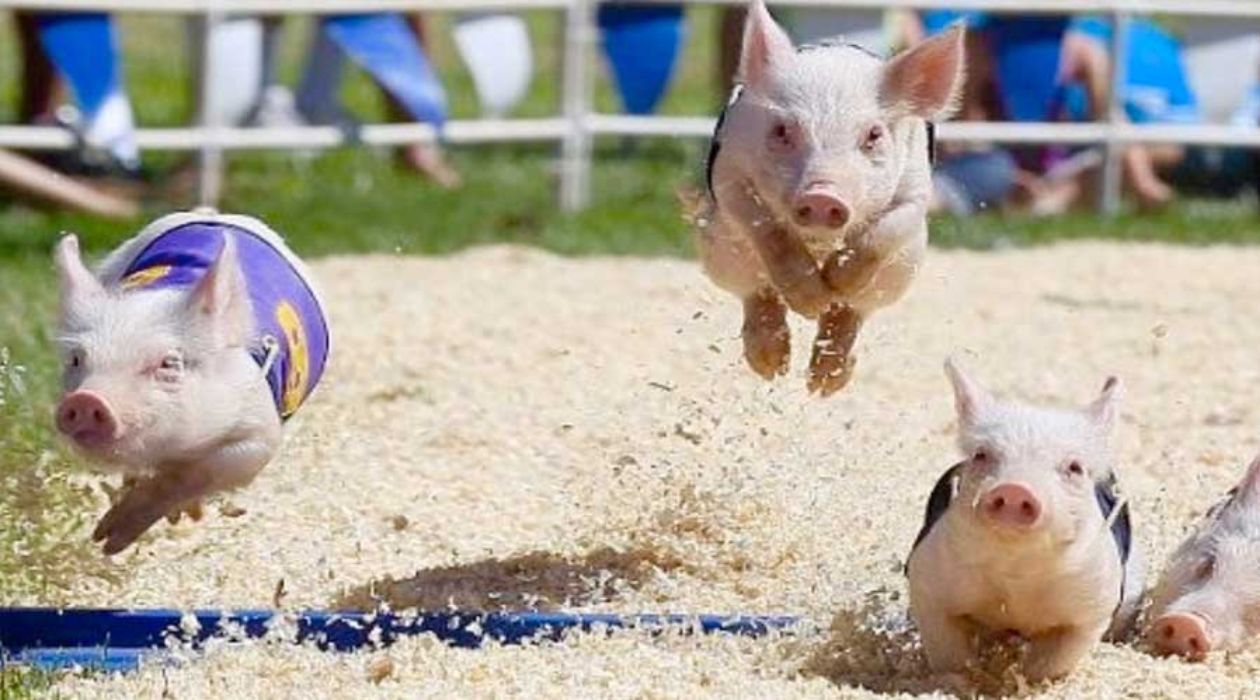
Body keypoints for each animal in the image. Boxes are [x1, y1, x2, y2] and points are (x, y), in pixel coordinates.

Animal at [53, 210, 330, 554]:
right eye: (77, 359)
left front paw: (111, 539)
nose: (85, 399)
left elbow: (204, 470)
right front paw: (104, 539)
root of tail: (213, 213)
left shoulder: (260, 428)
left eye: (169, 363)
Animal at [696, 0, 965, 396]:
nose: (823, 195)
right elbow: (767, 229)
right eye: (782, 130)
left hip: (902, 271)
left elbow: (884, 231)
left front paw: (836, 284)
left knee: (854, 312)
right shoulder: (729, 173)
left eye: (873, 134)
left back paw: (825, 382)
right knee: (756, 291)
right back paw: (772, 366)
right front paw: (811, 302)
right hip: (719, 252)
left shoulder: (916, 190)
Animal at [905, 360, 1144, 682]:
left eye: (1074, 467)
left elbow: (1054, 660)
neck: (1015, 573)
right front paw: (960, 682)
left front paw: (1026, 681)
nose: (1015, 489)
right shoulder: (928, 580)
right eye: (981, 454)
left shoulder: (1092, 603)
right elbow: (948, 651)